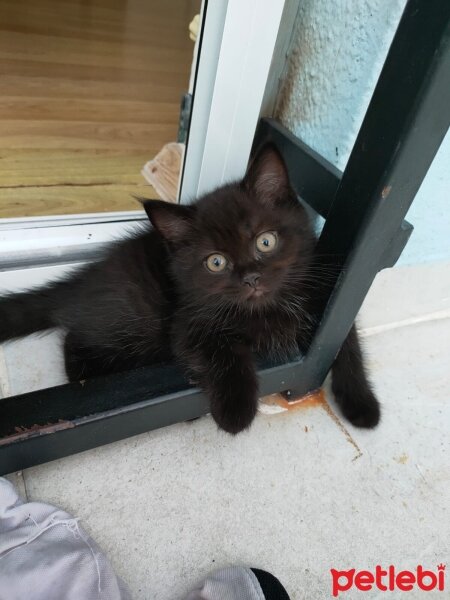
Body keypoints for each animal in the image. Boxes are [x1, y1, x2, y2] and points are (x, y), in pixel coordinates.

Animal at [0, 148, 380, 434]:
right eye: (216, 262)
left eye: (265, 241)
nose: (251, 278)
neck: (266, 309)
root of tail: (85, 278)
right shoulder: (188, 325)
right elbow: (223, 351)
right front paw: (235, 411)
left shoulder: (324, 296)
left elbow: (345, 345)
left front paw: (362, 403)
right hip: (137, 318)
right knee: (73, 344)